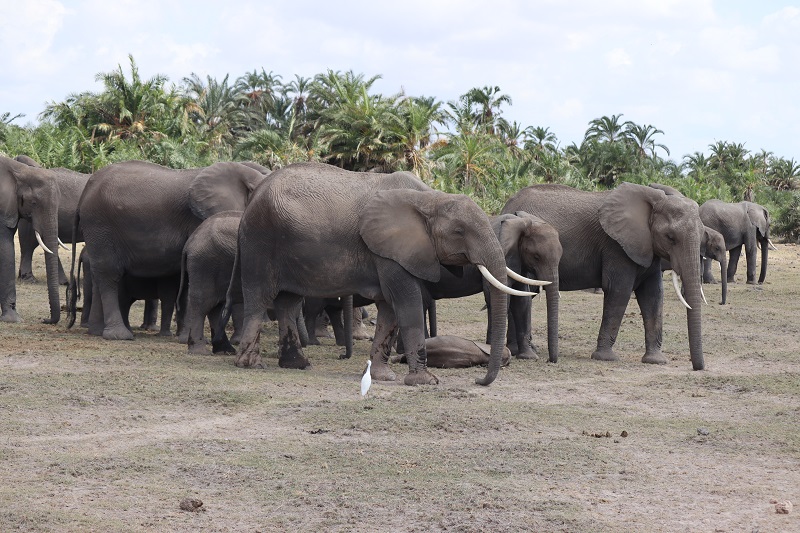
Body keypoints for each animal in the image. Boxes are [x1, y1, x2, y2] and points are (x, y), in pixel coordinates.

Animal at [67, 160, 268, 338]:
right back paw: (119, 335)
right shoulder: (198, 220)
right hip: (100, 225)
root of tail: (85, 192)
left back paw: (96, 331)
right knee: (109, 274)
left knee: (100, 274)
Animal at [227, 160, 536, 384]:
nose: (478, 381)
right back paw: (250, 364)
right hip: (260, 241)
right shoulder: (388, 251)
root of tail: (254, 196)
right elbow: (406, 303)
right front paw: (426, 381)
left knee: (287, 303)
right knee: (259, 297)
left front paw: (383, 377)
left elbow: (389, 310)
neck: (429, 198)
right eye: (459, 232)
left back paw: (297, 365)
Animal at [418, 212, 564, 362]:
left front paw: (528, 356)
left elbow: (522, 301)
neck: (520, 222)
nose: (550, 360)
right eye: (536, 257)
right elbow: (497, 294)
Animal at [506, 183, 708, 370]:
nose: (698, 367)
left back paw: (519, 350)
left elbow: (653, 295)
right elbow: (619, 291)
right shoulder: (616, 246)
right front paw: (606, 358)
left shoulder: (647, 245)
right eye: (670, 237)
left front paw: (656, 360)